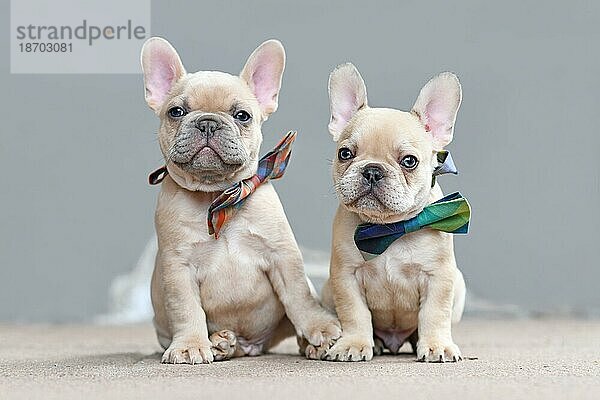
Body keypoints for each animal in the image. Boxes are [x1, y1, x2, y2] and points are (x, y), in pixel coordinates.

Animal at [138, 38, 340, 366]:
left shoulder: (282, 255)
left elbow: (298, 295)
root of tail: (253, 345)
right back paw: (221, 343)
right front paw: (190, 345)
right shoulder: (178, 267)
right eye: (176, 112)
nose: (207, 123)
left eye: (242, 115)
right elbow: (186, 308)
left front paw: (320, 328)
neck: (218, 196)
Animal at [322, 63, 466, 362]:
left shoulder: (439, 277)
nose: (372, 170)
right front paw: (354, 344)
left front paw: (436, 345)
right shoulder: (345, 277)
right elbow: (354, 313)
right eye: (345, 153)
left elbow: (435, 314)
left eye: (409, 161)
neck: (388, 228)